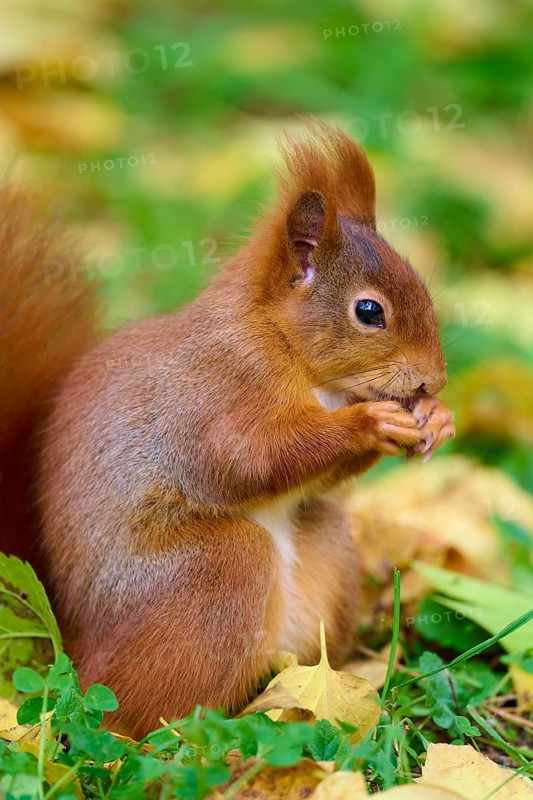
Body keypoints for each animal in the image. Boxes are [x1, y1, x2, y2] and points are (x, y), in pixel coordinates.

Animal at [0, 122, 454, 737]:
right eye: (369, 312)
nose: (435, 380)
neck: (288, 351)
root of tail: (74, 649)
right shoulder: (216, 397)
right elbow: (248, 459)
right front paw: (369, 421)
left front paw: (436, 419)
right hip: (218, 571)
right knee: (137, 714)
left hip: (327, 548)